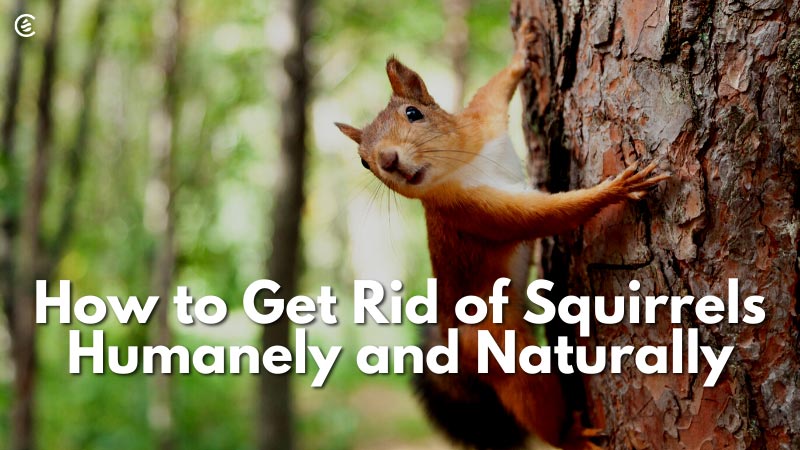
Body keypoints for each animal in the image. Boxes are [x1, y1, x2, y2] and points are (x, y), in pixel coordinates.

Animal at [335, 21, 668, 450]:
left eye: (413, 112)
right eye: (363, 162)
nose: (387, 160)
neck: (463, 161)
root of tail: (453, 347)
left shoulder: (484, 120)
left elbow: (493, 89)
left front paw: (523, 48)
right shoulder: (474, 212)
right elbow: (543, 217)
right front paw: (616, 189)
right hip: (495, 346)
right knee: (528, 395)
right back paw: (571, 435)